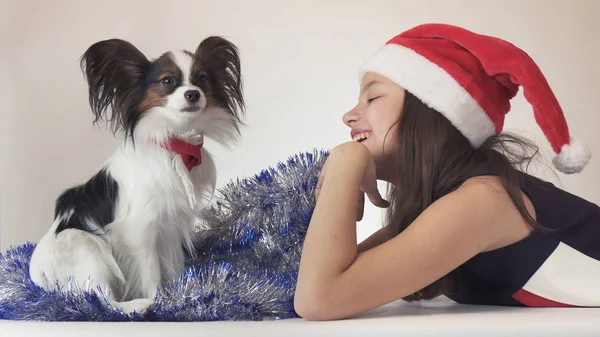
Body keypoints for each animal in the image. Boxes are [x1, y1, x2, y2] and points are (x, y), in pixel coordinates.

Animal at [29, 36, 245, 312]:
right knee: (99, 299)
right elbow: (150, 272)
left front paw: (178, 295)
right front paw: (159, 300)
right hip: (87, 248)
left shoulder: (168, 229)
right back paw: (138, 305)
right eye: (167, 81)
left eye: (201, 78)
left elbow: (172, 267)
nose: (193, 94)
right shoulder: (138, 231)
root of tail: (37, 275)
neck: (174, 144)